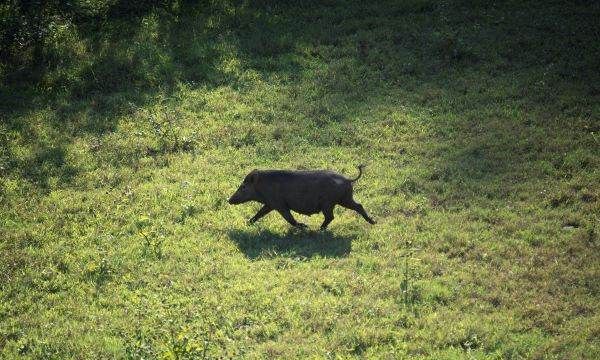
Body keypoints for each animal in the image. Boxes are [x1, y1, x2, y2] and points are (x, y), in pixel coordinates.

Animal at [227, 165, 378, 229]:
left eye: (243, 186)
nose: (229, 200)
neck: (263, 186)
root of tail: (348, 179)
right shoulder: (270, 204)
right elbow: (259, 214)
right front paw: (248, 223)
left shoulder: (279, 204)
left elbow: (289, 218)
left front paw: (303, 226)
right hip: (344, 199)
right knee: (358, 206)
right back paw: (373, 222)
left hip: (330, 203)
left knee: (331, 216)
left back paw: (318, 229)